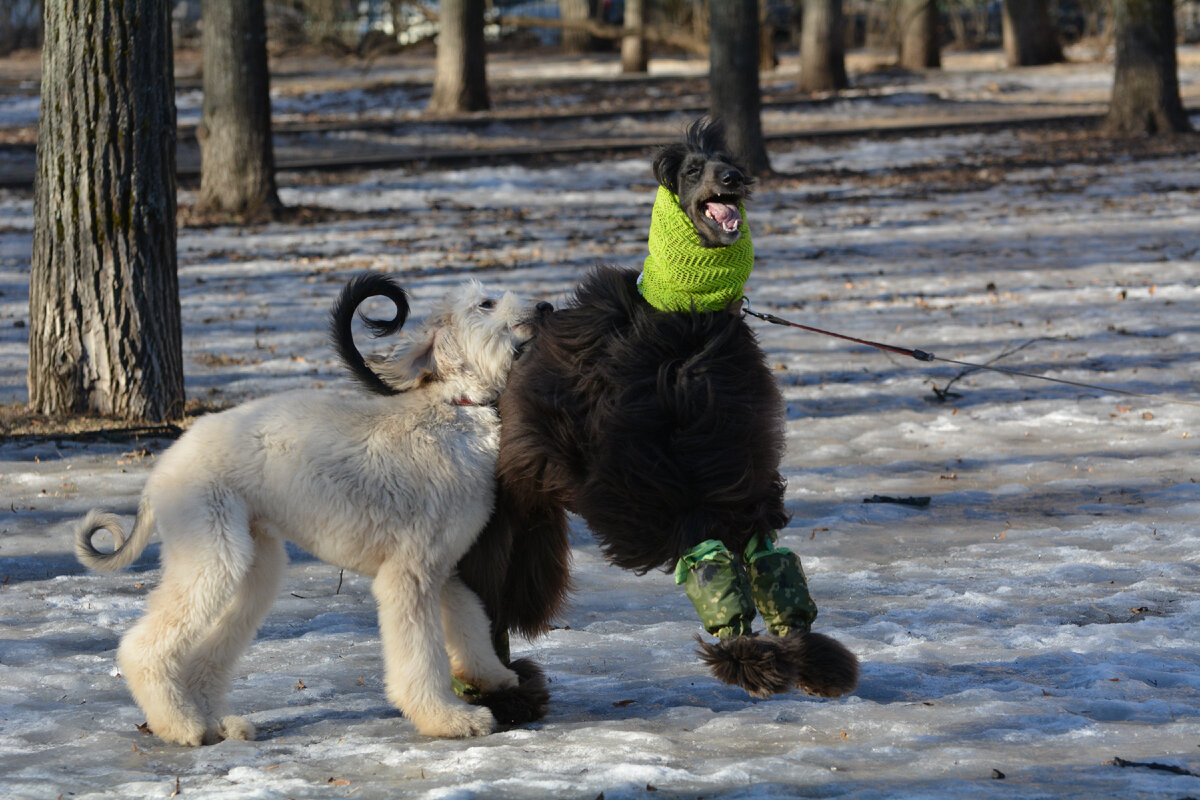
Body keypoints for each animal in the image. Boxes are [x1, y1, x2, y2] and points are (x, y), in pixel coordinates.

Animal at [76, 278, 544, 748]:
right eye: (486, 304)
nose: (544, 306)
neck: (454, 408)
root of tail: (160, 471)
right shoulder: (410, 572)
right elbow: (421, 656)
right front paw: (447, 718)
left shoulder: (441, 568)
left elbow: (468, 614)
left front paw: (493, 675)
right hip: (210, 547)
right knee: (142, 646)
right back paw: (179, 725)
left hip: (252, 562)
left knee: (207, 651)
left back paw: (215, 722)